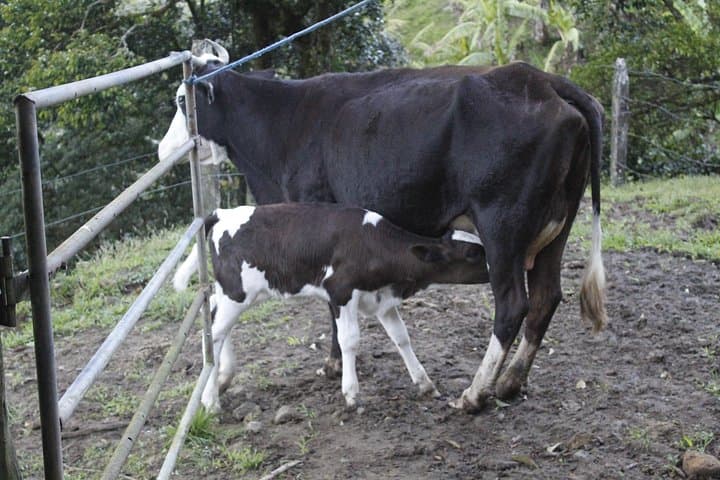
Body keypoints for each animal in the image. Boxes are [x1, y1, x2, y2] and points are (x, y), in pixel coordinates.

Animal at [172, 203, 489, 411]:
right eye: (473, 253)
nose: (498, 266)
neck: (372, 244)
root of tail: (223, 212)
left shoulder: (382, 300)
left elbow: (402, 337)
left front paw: (424, 383)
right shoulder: (341, 292)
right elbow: (349, 340)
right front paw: (351, 393)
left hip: (234, 293)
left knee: (215, 320)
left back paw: (222, 378)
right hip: (236, 292)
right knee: (212, 335)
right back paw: (210, 400)